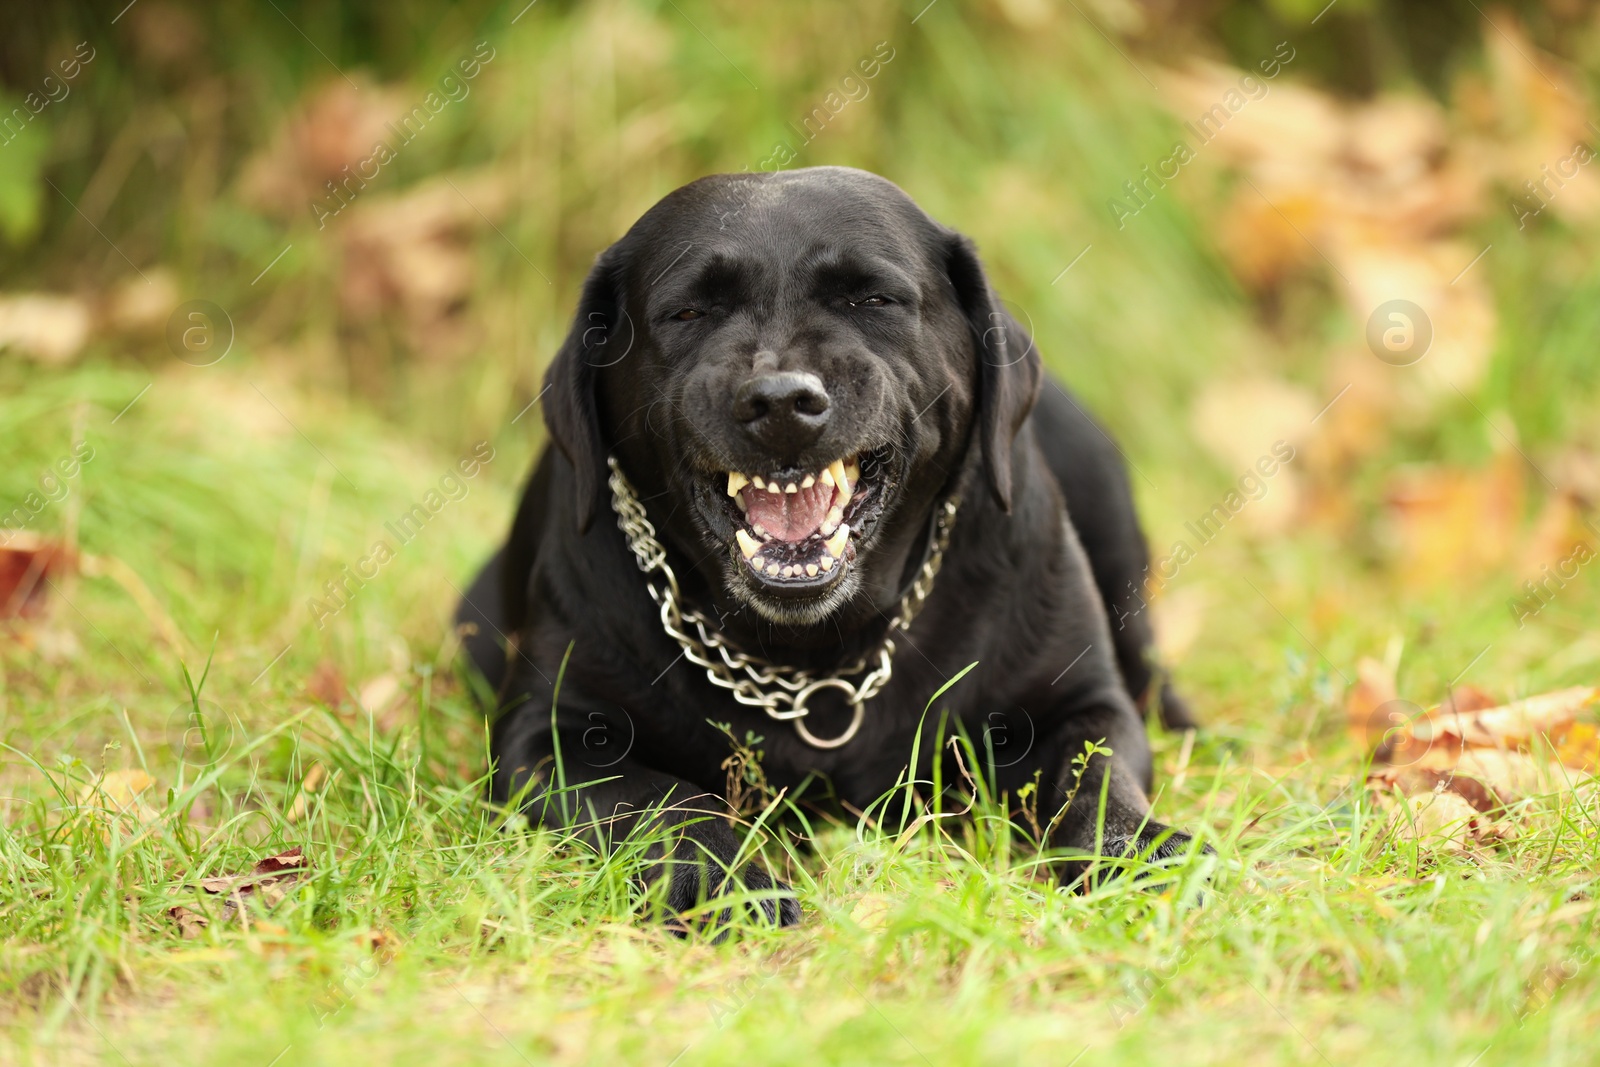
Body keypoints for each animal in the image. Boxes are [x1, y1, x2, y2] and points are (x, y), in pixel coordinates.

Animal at [457, 164, 1196, 927]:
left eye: (872, 298)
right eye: (688, 313)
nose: (781, 401)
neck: (813, 656)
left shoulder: (1080, 701)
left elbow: (1094, 779)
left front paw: (1141, 850)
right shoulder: (550, 735)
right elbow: (664, 802)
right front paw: (729, 882)